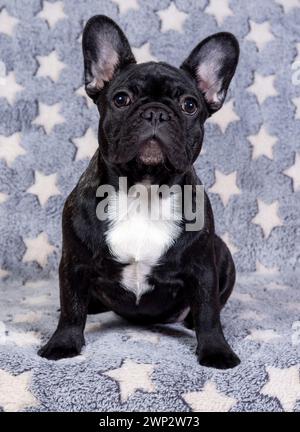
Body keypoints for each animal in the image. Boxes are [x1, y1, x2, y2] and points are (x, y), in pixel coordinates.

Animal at [39, 15, 241, 370]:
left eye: (189, 105)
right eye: (121, 99)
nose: (156, 112)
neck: (143, 191)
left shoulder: (203, 268)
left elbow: (208, 312)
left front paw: (216, 350)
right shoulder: (73, 264)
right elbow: (72, 308)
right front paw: (63, 343)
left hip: (223, 253)